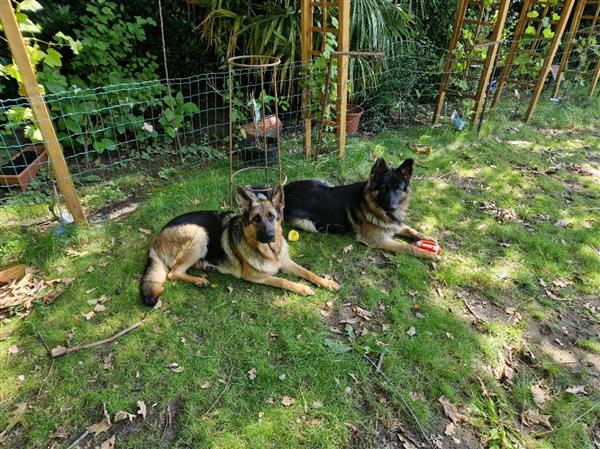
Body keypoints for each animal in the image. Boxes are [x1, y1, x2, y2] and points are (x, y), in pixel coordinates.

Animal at [138, 182, 340, 304]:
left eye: (272, 217)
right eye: (256, 219)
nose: (269, 236)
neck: (270, 253)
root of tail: (155, 242)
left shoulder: (286, 262)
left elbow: (307, 272)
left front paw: (326, 282)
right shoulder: (256, 276)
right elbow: (282, 280)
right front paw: (302, 288)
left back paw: (204, 267)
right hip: (199, 234)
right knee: (173, 273)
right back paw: (199, 280)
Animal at [284, 159, 438, 260]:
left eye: (399, 189)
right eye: (384, 188)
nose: (392, 208)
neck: (371, 205)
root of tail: (284, 190)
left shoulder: (393, 225)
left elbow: (410, 229)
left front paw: (428, 238)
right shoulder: (379, 240)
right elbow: (407, 247)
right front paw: (429, 254)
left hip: (321, 182)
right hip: (308, 224)